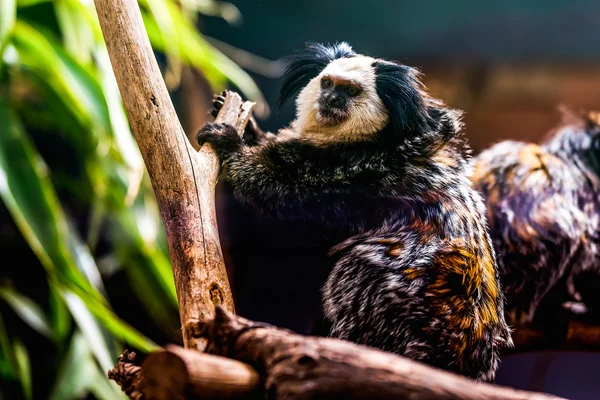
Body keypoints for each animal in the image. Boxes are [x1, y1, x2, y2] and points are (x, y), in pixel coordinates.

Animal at [199, 41, 512, 382]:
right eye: (327, 83)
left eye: (350, 90)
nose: (331, 99)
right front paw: (247, 127)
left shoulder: (357, 172)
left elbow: (269, 184)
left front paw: (231, 144)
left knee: (360, 267)